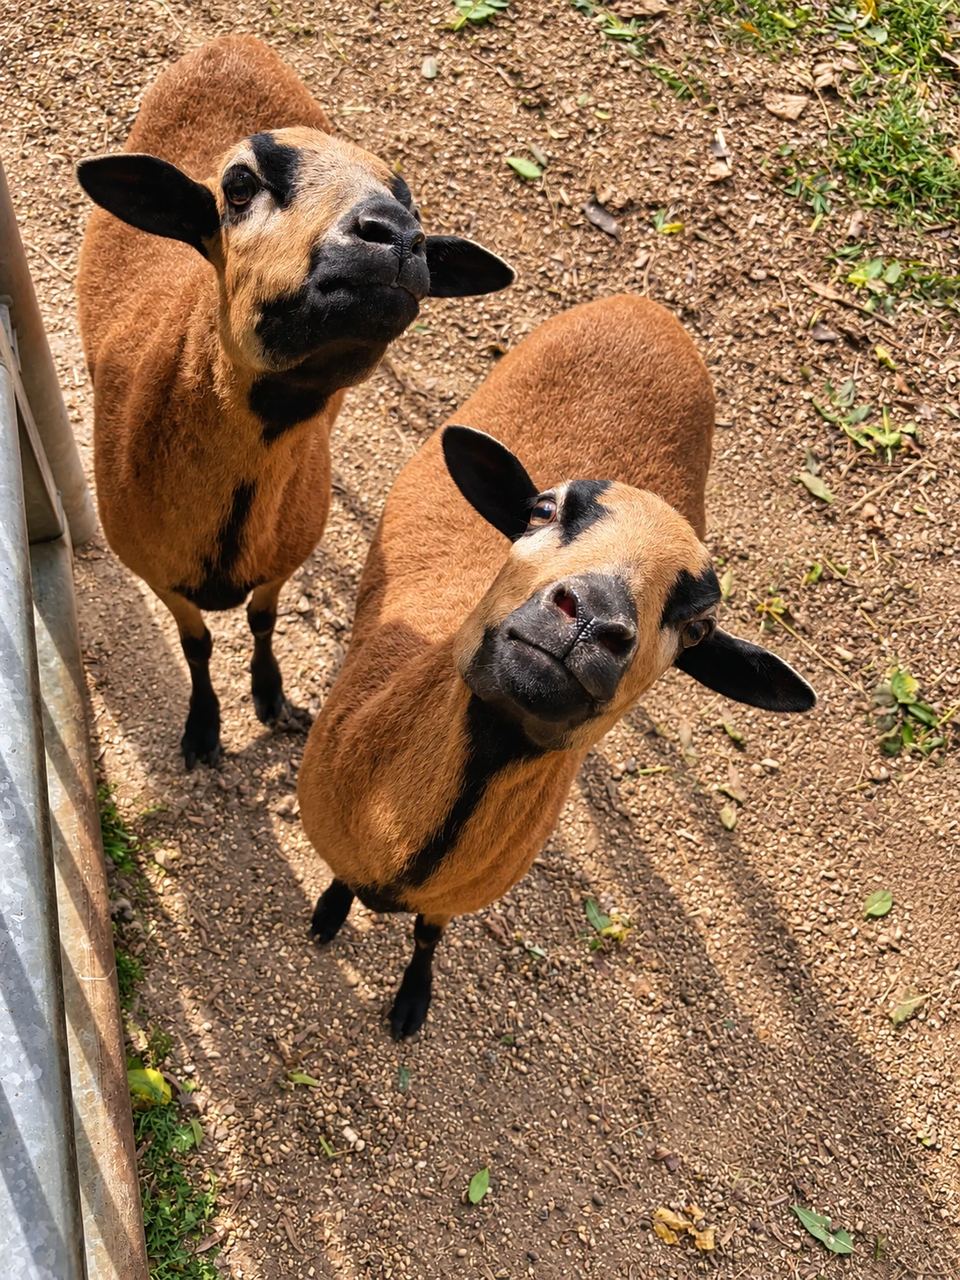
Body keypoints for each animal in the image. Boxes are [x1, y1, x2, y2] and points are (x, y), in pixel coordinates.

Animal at [75, 35, 513, 768]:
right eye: (239, 186)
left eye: (417, 211)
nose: (397, 235)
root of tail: (236, 43)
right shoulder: (155, 573)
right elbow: (196, 643)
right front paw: (204, 729)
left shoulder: (288, 553)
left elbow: (262, 617)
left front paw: (272, 699)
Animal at [297, 294, 816, 1039]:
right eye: (543, 510)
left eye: (697, 628)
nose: (595, 617)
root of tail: (644, 305)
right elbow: (339, 882)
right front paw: (329, 915)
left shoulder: (456, 898)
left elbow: (428, 937)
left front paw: (412, 1000)